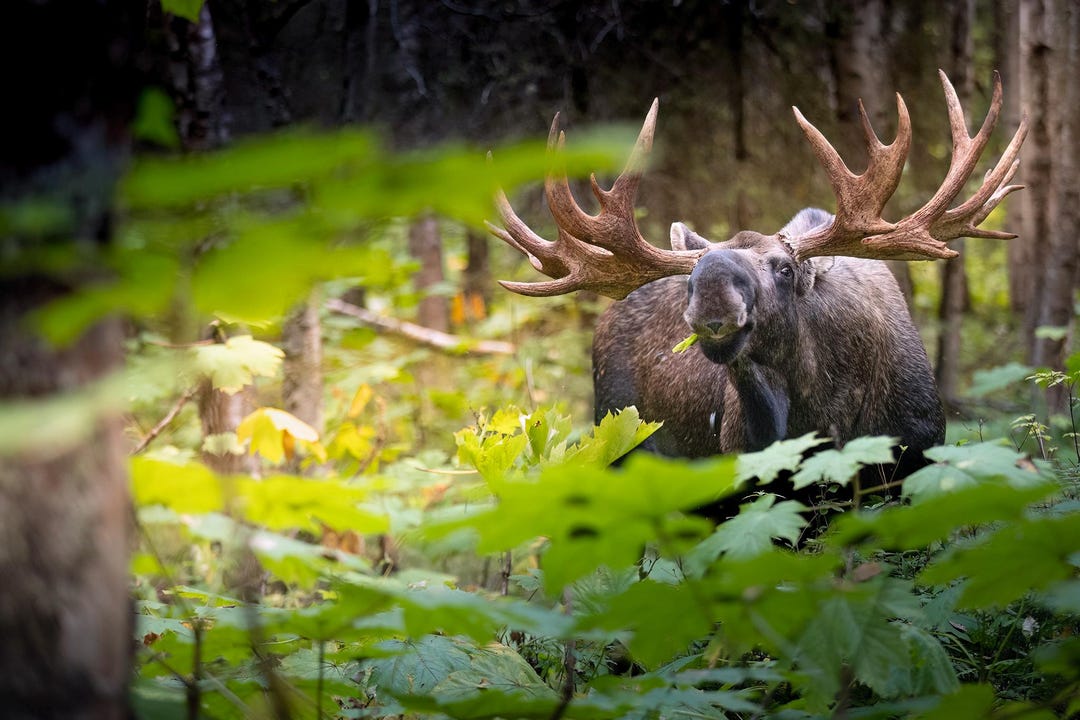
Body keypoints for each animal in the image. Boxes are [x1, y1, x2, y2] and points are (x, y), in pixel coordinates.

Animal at [487, 71, 1027, 512]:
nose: (711, 295)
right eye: (691, 277)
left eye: (785, 269)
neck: (826, 417)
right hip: (620, 446)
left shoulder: (914, 462)